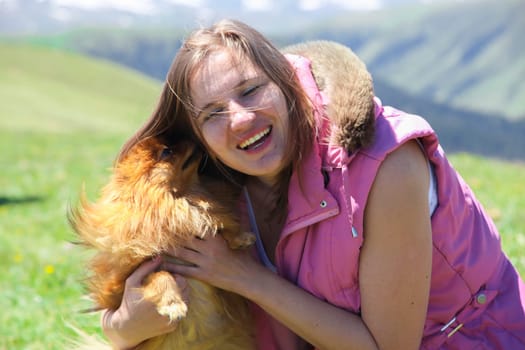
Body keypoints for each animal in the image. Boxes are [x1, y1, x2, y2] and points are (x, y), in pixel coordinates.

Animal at [68, 137, 256, 350]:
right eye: (167, 152)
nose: (189, 138)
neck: (178, 197)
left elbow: (220, 222)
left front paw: (240, 238)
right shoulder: (130, 277)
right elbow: (162, 276)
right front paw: (173, 304)